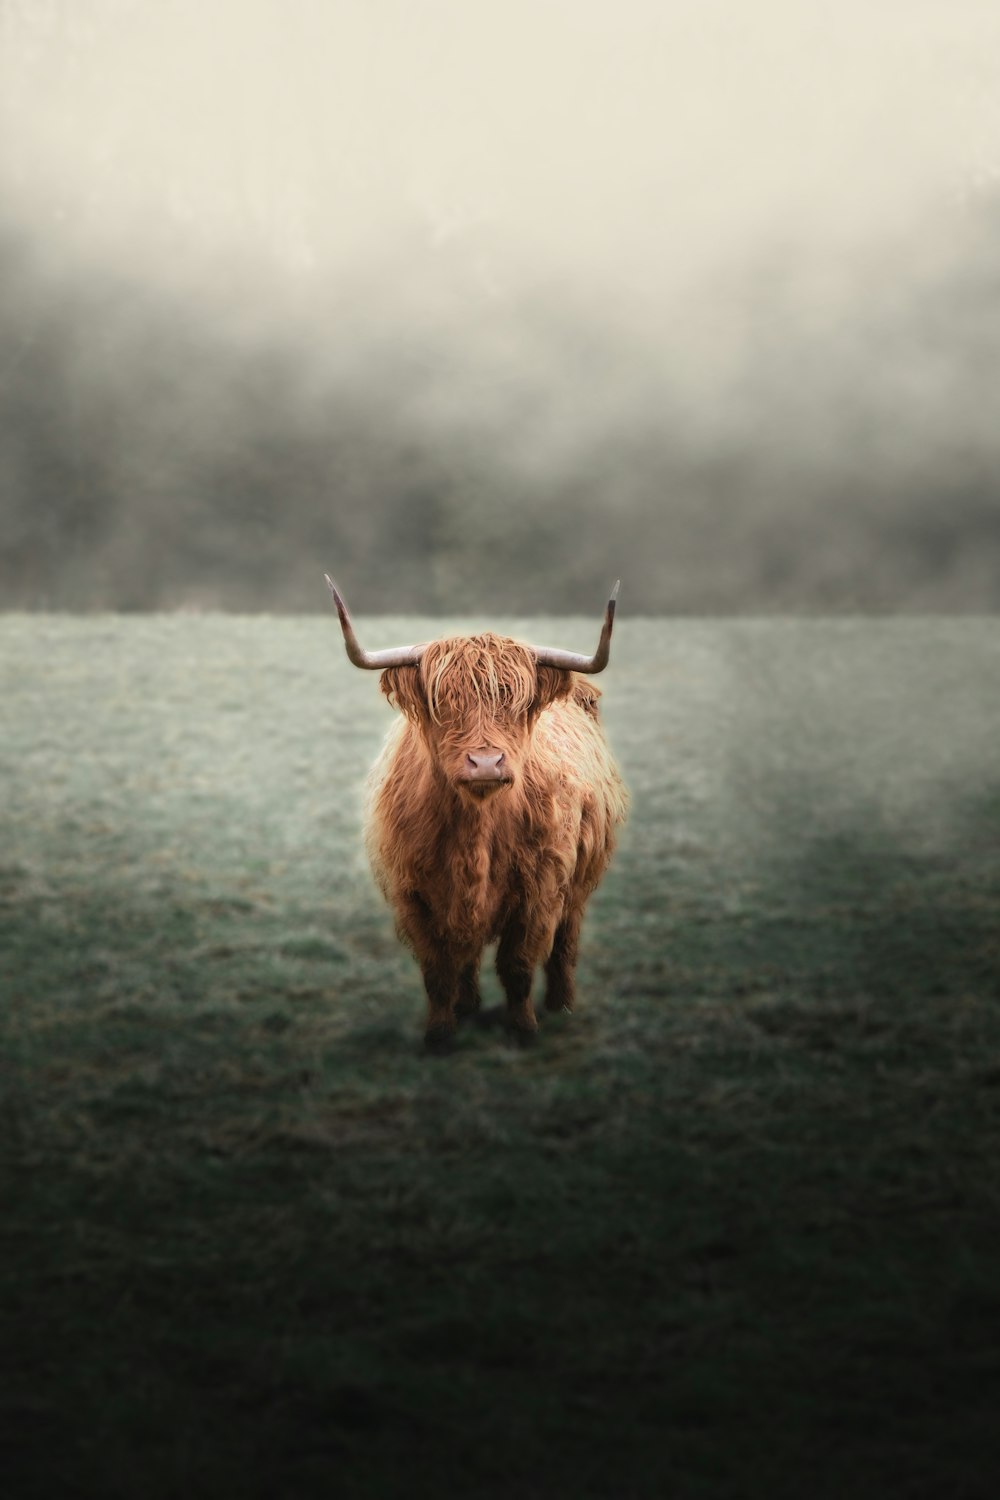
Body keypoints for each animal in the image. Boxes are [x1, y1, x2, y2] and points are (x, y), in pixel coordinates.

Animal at [326, 577, 629, 1050]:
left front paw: (524, 1029)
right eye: (443, 703)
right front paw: (439, 1034)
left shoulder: (540, 891)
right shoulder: (414, 895)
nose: (486, 763)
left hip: (580, 881)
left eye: (517, 703)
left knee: (566, 942)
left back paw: (561, 1004)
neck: (476, 829)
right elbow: (437, 969)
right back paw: (467, 1005)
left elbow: (518, 965)